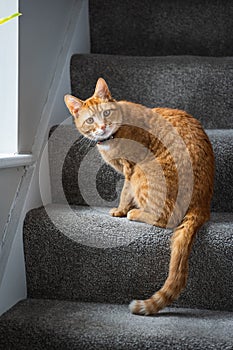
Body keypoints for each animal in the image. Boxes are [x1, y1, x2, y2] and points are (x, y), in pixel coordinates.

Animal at [64, 78, 214, 316]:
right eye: (90, 120)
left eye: (106, 113)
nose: (102, 127)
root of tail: (204, 202)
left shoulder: (130, 169)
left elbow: (125, 193)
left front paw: (121, 209)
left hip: (143, 174)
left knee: (167, 218)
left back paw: (135, 213)